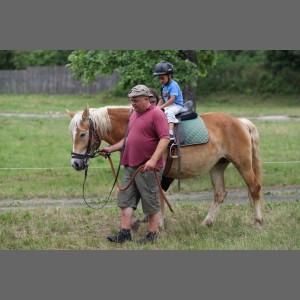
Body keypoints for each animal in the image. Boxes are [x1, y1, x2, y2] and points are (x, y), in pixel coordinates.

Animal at [66, 105, 262, 230]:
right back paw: (206, 223)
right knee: (220, 193)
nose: (75, 163)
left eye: (82, 134)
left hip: (242, 163)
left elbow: (154, 196)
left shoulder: (152, 171)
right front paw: (146, 221)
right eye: (72, 134)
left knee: (254, 188)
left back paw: (258, 222)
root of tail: (240, 121)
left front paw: (157, 223)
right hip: (217, 166)